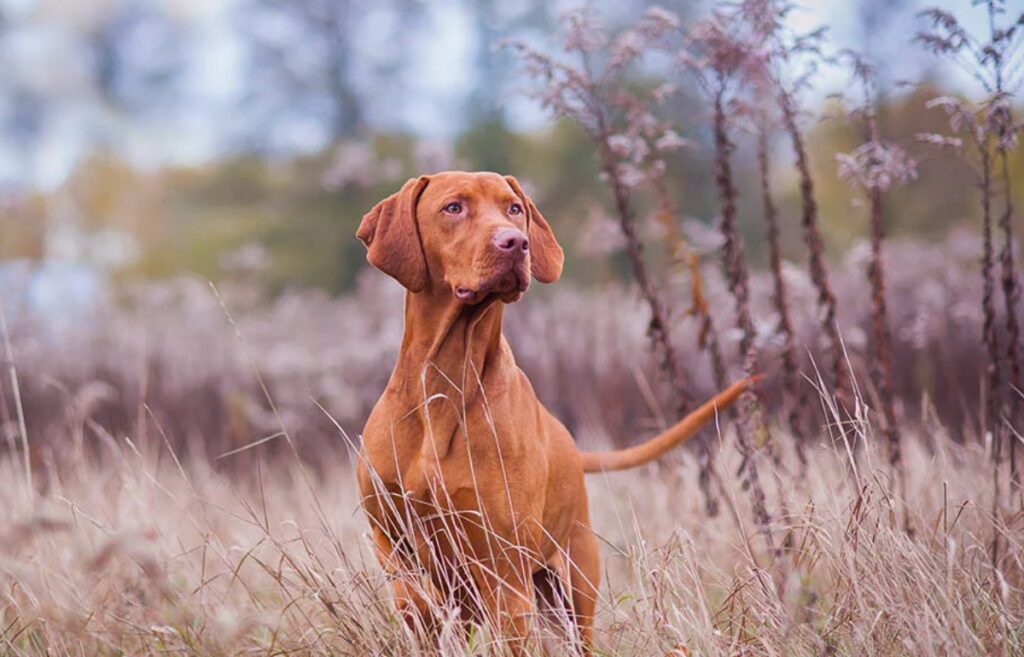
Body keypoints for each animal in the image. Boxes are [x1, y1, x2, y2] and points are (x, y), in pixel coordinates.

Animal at [358, 168, 753, 650]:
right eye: (453, 207)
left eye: (513, 208)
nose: (515, 243)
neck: (444, 383)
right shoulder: (388, 534)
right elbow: (412, 596)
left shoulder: (505, 575)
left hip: (570, 594)